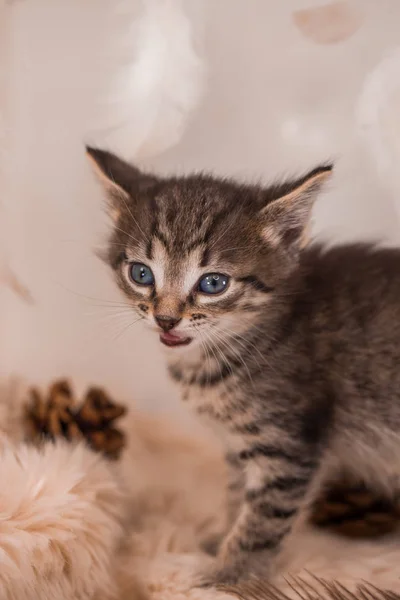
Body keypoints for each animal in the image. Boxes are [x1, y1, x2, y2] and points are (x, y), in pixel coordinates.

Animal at [86, 148, 400, 588]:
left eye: (213, 284)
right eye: (141, 273)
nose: (166, 319)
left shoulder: (289, 446)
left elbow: (262, 521)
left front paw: (228, 578)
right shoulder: (239, 444)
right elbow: (238, 499)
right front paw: (219, 542)